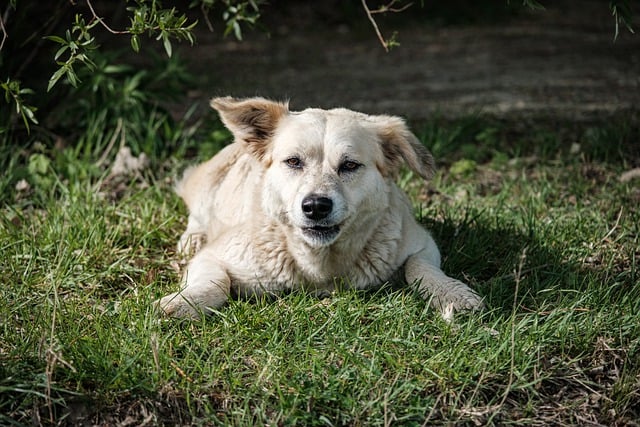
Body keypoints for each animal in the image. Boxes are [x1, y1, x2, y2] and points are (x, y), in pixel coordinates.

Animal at [158, 97, 482, 318]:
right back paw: (192, 238)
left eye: (350, 165)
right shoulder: (213, 257)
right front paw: (184, 302)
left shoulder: (422, 244)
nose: (315, 207)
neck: (321, 264)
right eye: (293, 162)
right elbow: (216, 281)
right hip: (208, 183)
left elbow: (419, 268)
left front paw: (450, 293)